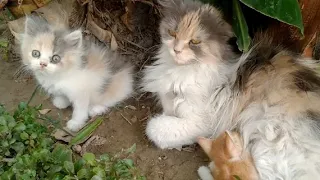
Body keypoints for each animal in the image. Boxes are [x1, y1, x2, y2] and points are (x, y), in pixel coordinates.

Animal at [142, 0, 320, 179]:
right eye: (172, 33)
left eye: (195, 42)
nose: (176, 50)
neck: (180, 70)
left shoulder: (202, 121)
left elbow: (154, 127)